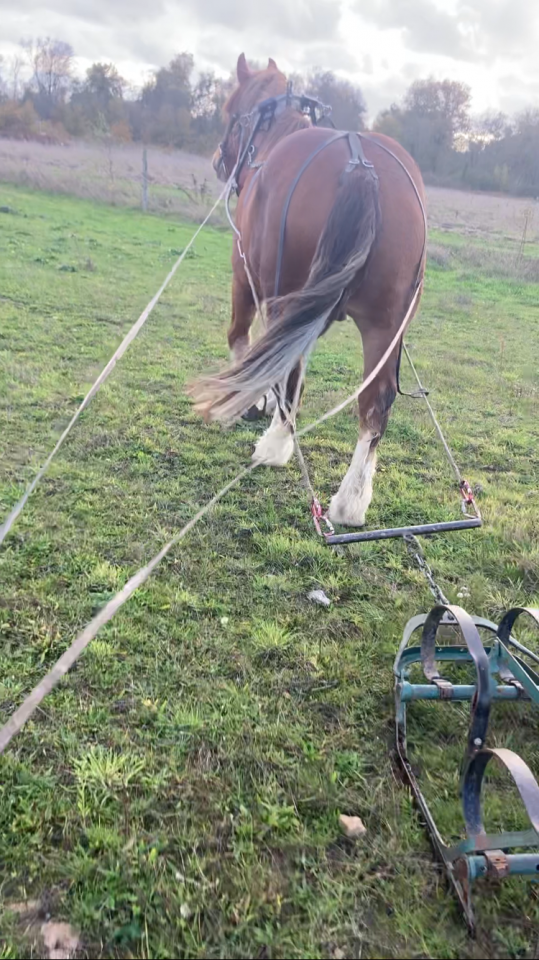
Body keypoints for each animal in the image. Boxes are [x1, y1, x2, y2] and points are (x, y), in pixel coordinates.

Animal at [191, 54, 426, 528]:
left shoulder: (245, 278)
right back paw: (350, 503)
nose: (219, 160)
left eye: (230, 111)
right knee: (375, 402)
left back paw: (274, 446)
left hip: (290, 299)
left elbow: (245, 343)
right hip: (383, 325)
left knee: (289, 365)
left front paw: (253, 403)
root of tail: (361, 166)